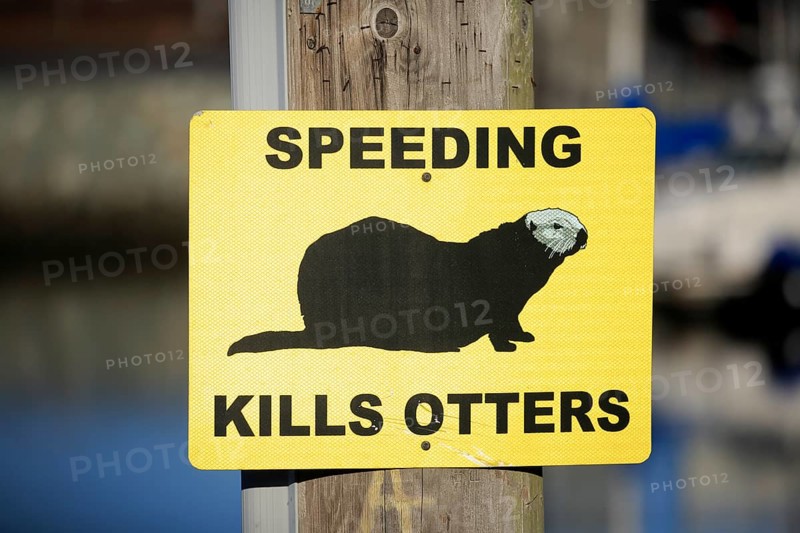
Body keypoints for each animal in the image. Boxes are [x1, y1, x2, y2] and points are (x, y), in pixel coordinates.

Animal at [228, 208, 587, 355]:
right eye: (557, 225)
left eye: (577, 220)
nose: (583, 234)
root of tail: (313, 325)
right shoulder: (496, 301)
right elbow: (497, 328)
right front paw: (506, 347)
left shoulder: (512, 305)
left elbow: (512, 322)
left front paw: (523, 336)